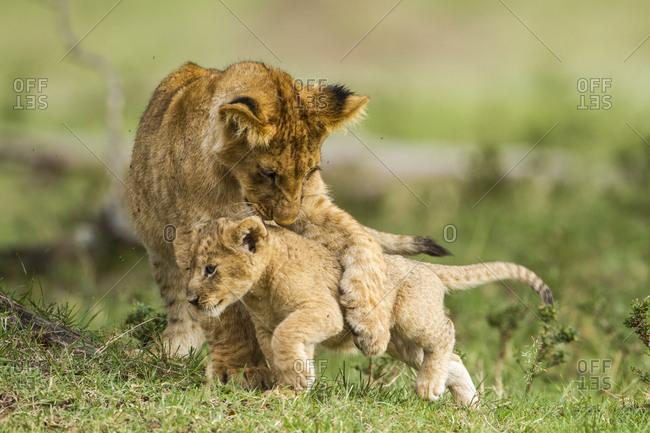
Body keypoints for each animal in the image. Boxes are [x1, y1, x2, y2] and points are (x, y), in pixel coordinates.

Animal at [127, 61, 450, 386]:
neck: (236, 184)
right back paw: (176, 349)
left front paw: (371, 324)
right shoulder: (194, 232)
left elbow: (362, 241)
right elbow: (226, 313)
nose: (285, 221)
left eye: (309, 172)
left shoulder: (312, 210)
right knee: (181, 308)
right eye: (268, 173)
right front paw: (241, 369)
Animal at [187, 216, 554, 404]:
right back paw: (468, 405)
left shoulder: (324, 311)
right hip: (399, 344)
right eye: (189, 267)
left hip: (413, 319)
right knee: (454, 360)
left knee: (446, 334)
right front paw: (292, 387)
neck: (260, 287)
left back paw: (429, 387)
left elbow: (285, 337)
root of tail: (426, 268)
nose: (190, 299)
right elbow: (281, 350)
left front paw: (296, 382)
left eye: (210, 269)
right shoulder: (266, 326)